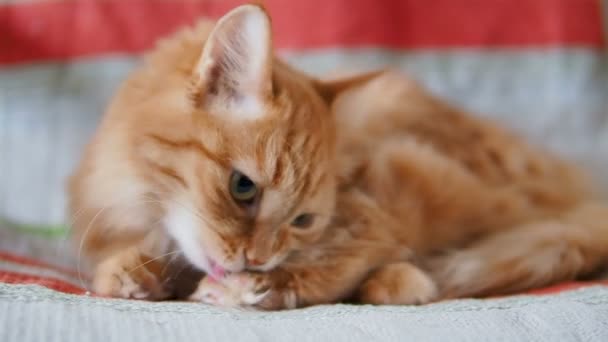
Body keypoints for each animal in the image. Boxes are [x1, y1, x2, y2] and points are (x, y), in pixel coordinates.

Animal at [69, 4, 604, 308]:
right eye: (243, 188)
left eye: (303, 220)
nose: (258, 259)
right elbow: (120, 261)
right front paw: (134, 271)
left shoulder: (381, 201)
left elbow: (340, 259)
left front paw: (256, 286)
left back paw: (399, 281)